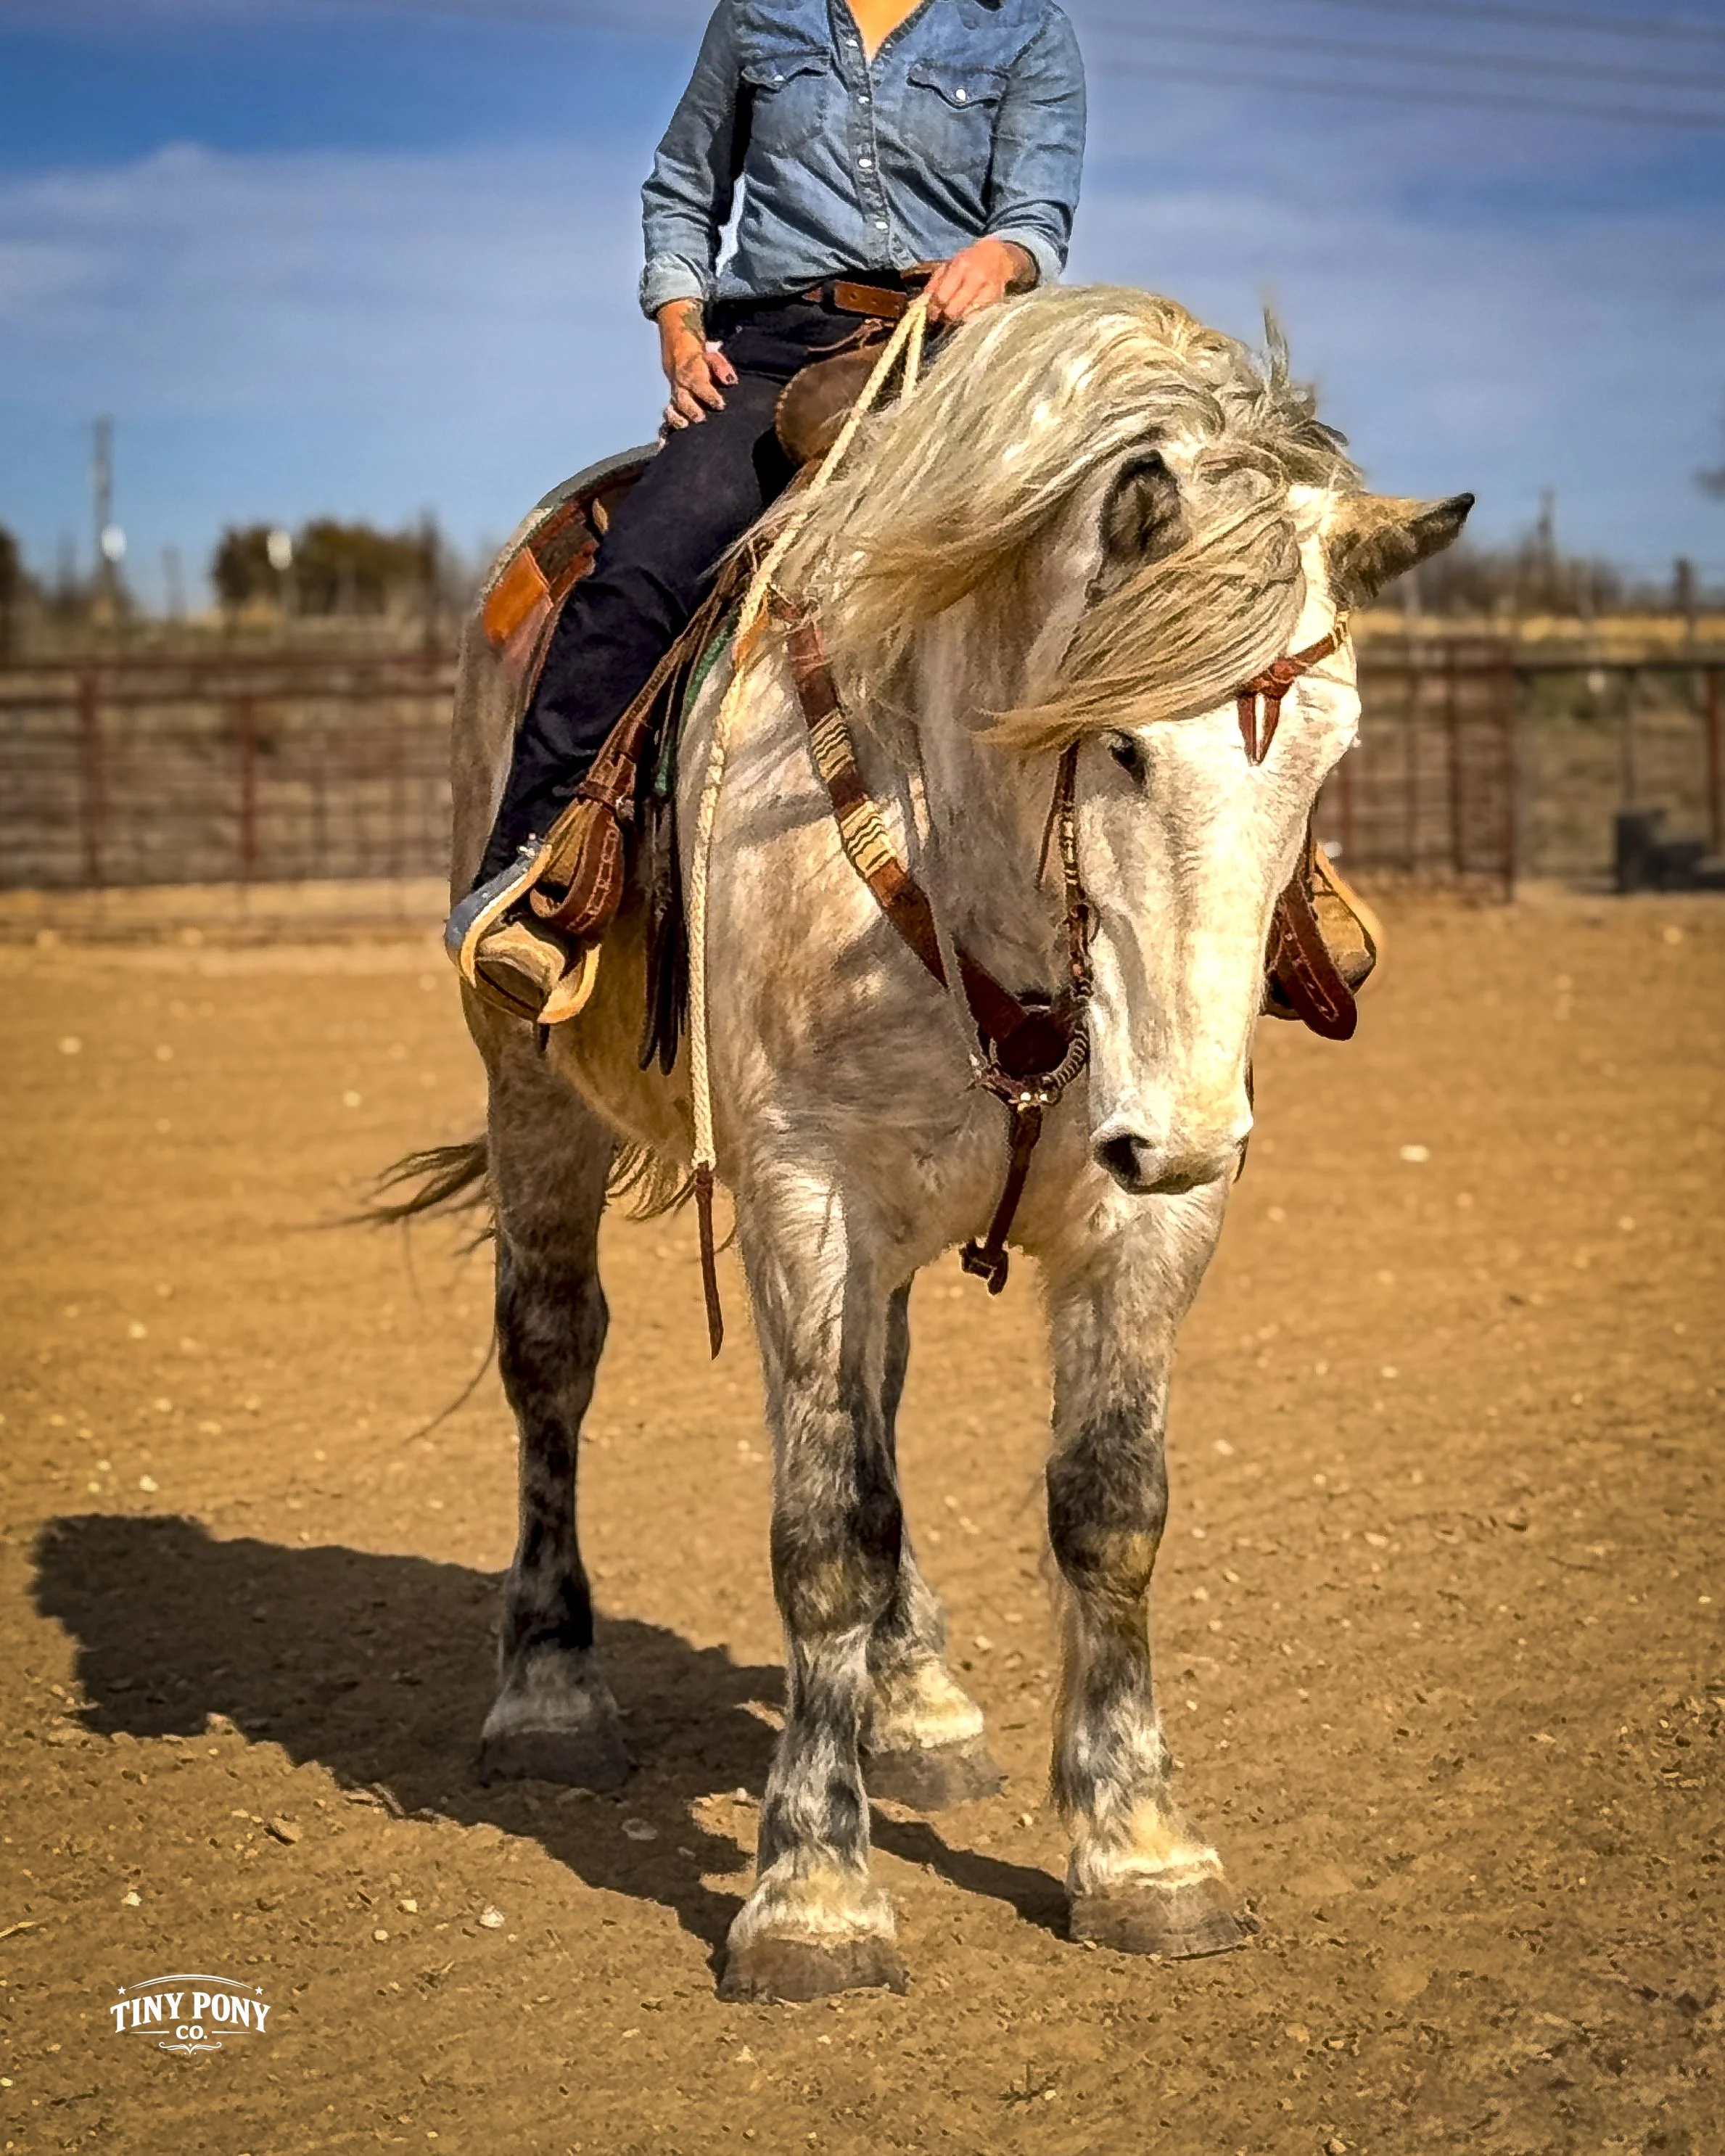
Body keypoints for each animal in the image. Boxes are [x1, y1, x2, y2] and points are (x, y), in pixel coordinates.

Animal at [398, 286, 1470, 2003]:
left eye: (1328, 750)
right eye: (1119, 747)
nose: (1187, 1131)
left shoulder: (1140, 1227)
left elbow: (1107, 1509)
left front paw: (1141, 1849)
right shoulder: (801, 1199)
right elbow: (822, 1526)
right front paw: (813, 1890)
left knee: (879, 1407)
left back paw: (915, 1702)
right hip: (535, 1104)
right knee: (553, 1359)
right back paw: (550, 1691)